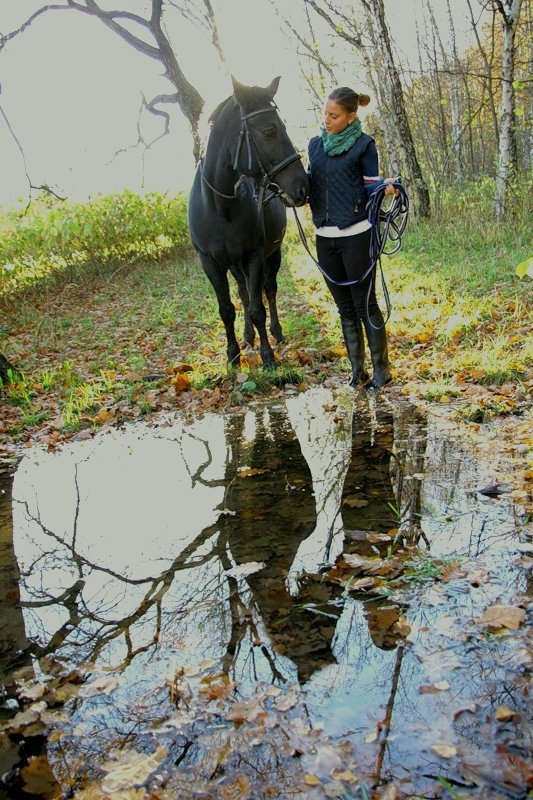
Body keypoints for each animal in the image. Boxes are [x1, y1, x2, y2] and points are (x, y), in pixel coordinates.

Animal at [189, 76, 310, 370]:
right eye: (269, 131)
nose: (302, 185)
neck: (219, 206)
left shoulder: (255, 256)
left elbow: (258, 309)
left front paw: (268, 356)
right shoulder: (210, 262)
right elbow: (227, 309)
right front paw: (232, 354)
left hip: (271, 256)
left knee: (269, 290)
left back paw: (275, 332)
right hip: (235, 265)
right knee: (244, 294)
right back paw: (247, 336)